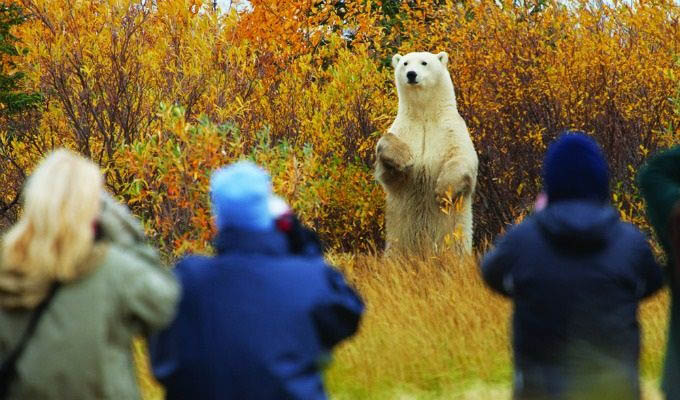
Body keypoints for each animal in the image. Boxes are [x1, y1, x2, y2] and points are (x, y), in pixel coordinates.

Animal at [378, 51, 478, 255]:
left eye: (424, 62)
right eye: (405, 63)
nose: (411, 74)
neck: (425, 115)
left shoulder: (450, 129)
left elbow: (461, 158)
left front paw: (441, 192)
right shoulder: (405, 128)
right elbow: (386, 150)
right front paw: (405, 158)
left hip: (454, 240)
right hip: (397, 241)